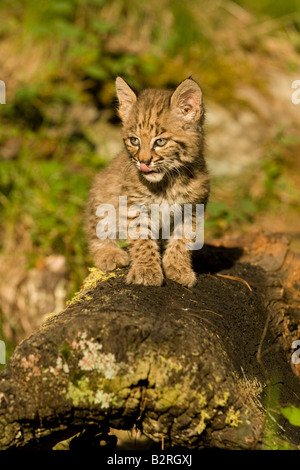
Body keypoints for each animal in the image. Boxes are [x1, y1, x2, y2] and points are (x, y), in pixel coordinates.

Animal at [86, 78, 209, 286]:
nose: (143, 162)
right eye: (134, 140)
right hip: (102, 196)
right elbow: (141, 239)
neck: (168, 181)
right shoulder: (134, 206)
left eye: (160, 142)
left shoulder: (192, 207)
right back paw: (109, 254)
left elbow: (183, 240)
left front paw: (178, 268)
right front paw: (146, 270)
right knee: (97, 230)